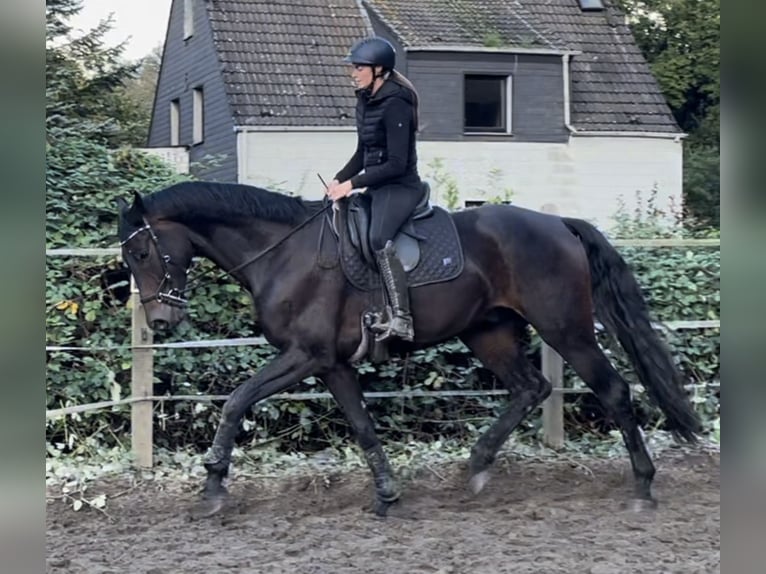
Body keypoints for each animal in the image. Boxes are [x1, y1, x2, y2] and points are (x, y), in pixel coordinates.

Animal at [118, 180, 704, 516]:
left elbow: (237, 400)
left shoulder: (304, 355)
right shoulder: (330, 364)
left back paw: (643, 487)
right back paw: (477, 466)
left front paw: (213, 487)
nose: (162, 319)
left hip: (566, 330)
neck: (282, 253)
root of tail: (558, 223)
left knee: (613, 390)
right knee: (530, 387)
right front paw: (386, 494)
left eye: (143, 251)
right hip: (488, 331)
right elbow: (362, 426)